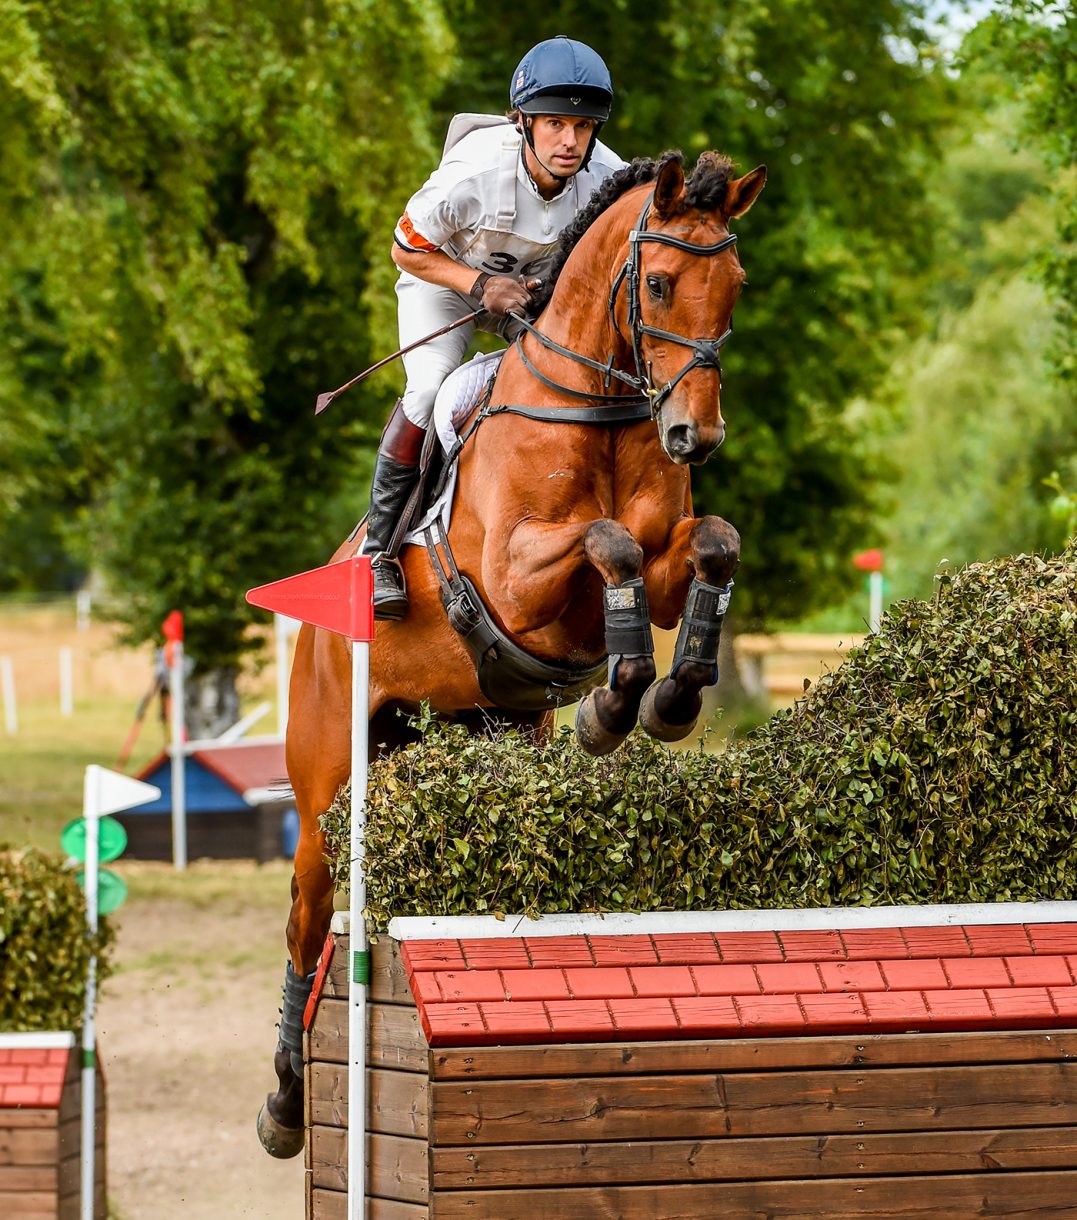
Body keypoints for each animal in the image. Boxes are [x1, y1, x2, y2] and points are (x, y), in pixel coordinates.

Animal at [257, 149, 766, 1156]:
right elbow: (606, 541)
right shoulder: (514, 581)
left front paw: (667, 695)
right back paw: (286, 1104)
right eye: (657, 282)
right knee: (307, 919)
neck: (604, 412)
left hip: (487, 726)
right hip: (328, 782)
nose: (694, 436)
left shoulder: (661, 565)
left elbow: (708, 547)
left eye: (733, 285)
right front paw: (614, 705)